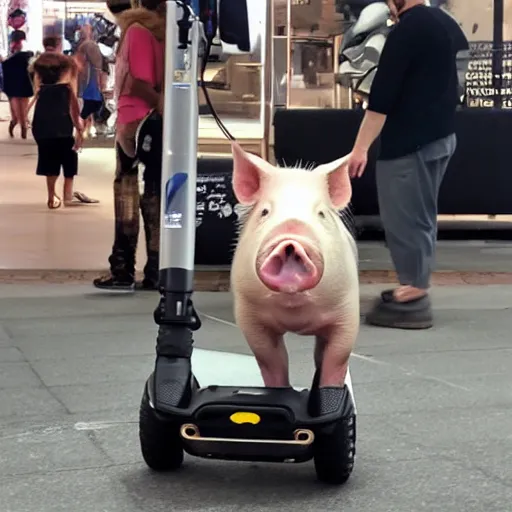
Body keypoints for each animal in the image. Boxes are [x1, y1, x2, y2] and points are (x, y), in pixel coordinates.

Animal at [230, 142, 358, 390]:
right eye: (265, 212)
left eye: (321, 214)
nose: (291, 234)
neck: (295, 314)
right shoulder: (249, 314)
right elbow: (272, 362)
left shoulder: (346, 308)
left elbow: (336, 360)